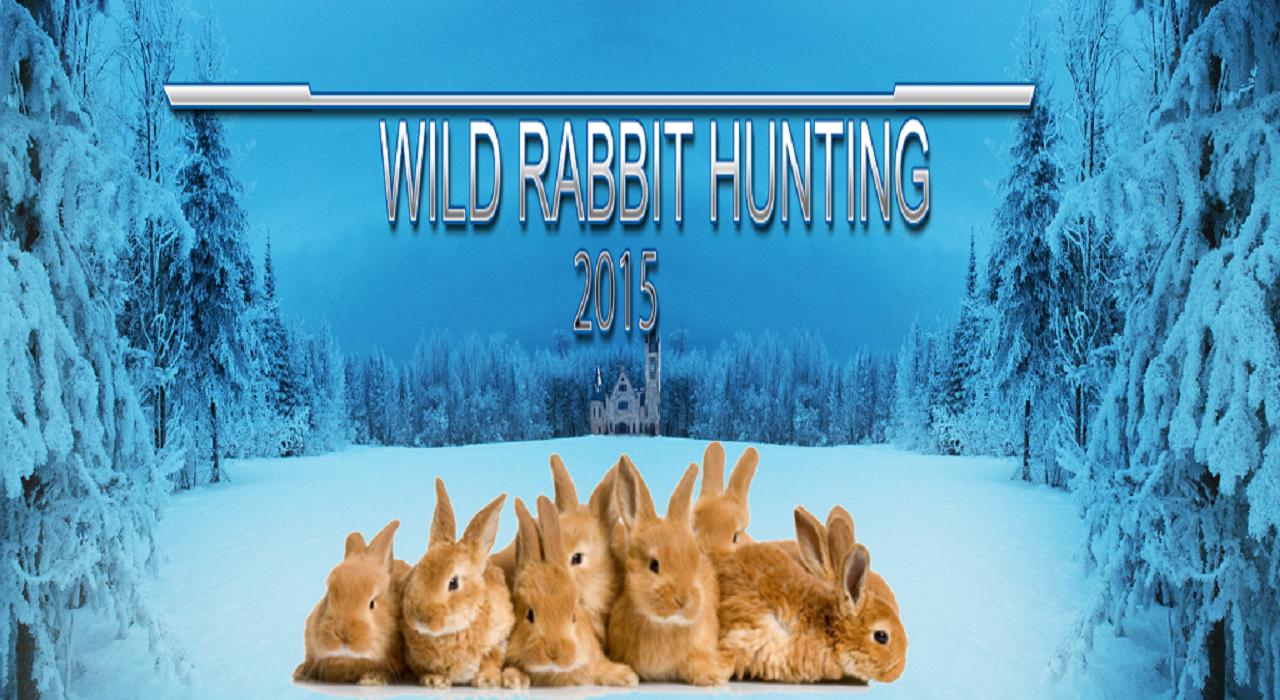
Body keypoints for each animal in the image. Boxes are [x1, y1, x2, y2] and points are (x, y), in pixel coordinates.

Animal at [399, 478, 528, 689]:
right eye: (418, 571)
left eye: (453, 583)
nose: (420, 617)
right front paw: (434, 680)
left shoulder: (499, 640)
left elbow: (491, 661)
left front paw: (486, 680)